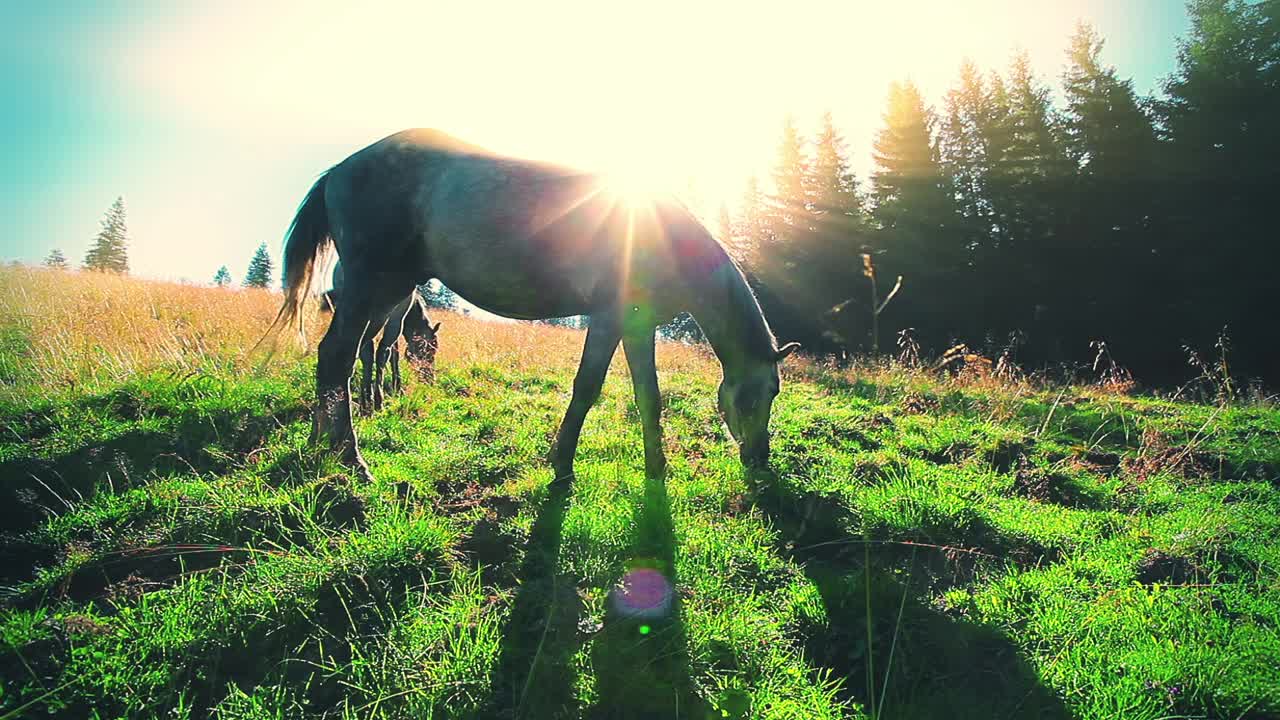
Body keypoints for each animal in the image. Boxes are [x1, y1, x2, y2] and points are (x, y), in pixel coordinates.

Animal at [320, 260, 440, 412]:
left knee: (365, 354)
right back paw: (376, 400)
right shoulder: (398, 316)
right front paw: (397, 388)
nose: (430, 379)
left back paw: (366, 400)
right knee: (378, 353)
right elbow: (392, 355)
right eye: (430, 350)